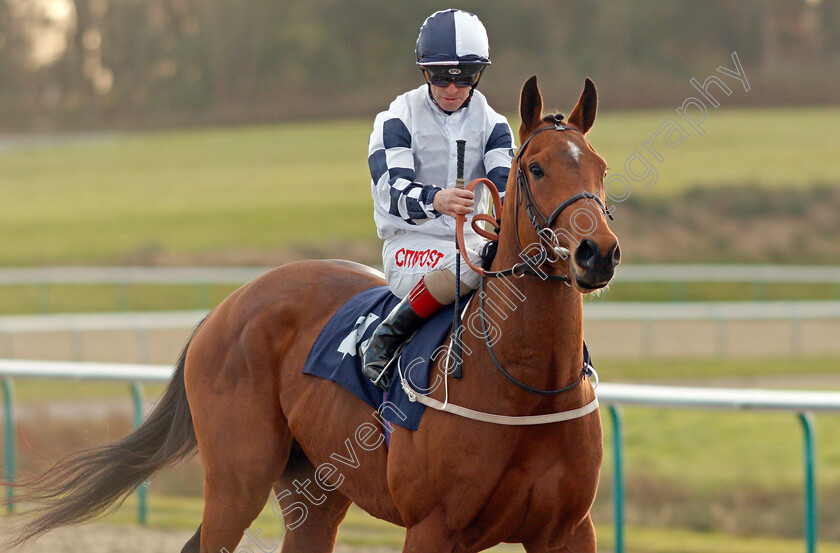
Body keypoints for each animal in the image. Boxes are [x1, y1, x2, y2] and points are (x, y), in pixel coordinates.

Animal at [0, 74, 616, 552]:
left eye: (601, 168)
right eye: (536, 168)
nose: (598, 252)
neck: (523, 387)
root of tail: (229, 306)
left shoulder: (568, 530)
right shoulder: (432, 527)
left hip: (314, 488)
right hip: (239, 477)